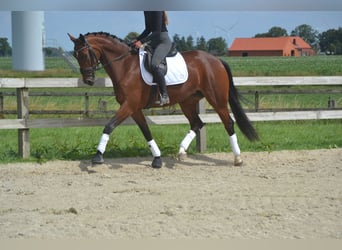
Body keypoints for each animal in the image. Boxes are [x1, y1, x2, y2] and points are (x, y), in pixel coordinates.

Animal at [68, 31, 258, 168]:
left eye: (84, 54)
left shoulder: (129, 105)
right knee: (197, 123)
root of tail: (216, 59)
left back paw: (238, 158)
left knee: (228, 123)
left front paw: (97, 156)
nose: (88, 80)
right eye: (76, 56)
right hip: (187, 101)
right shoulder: (134, 109)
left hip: (216, 99)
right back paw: (181, 152)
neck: (125, 66)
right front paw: (157, 159)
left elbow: (109, 126)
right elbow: (146, 132)